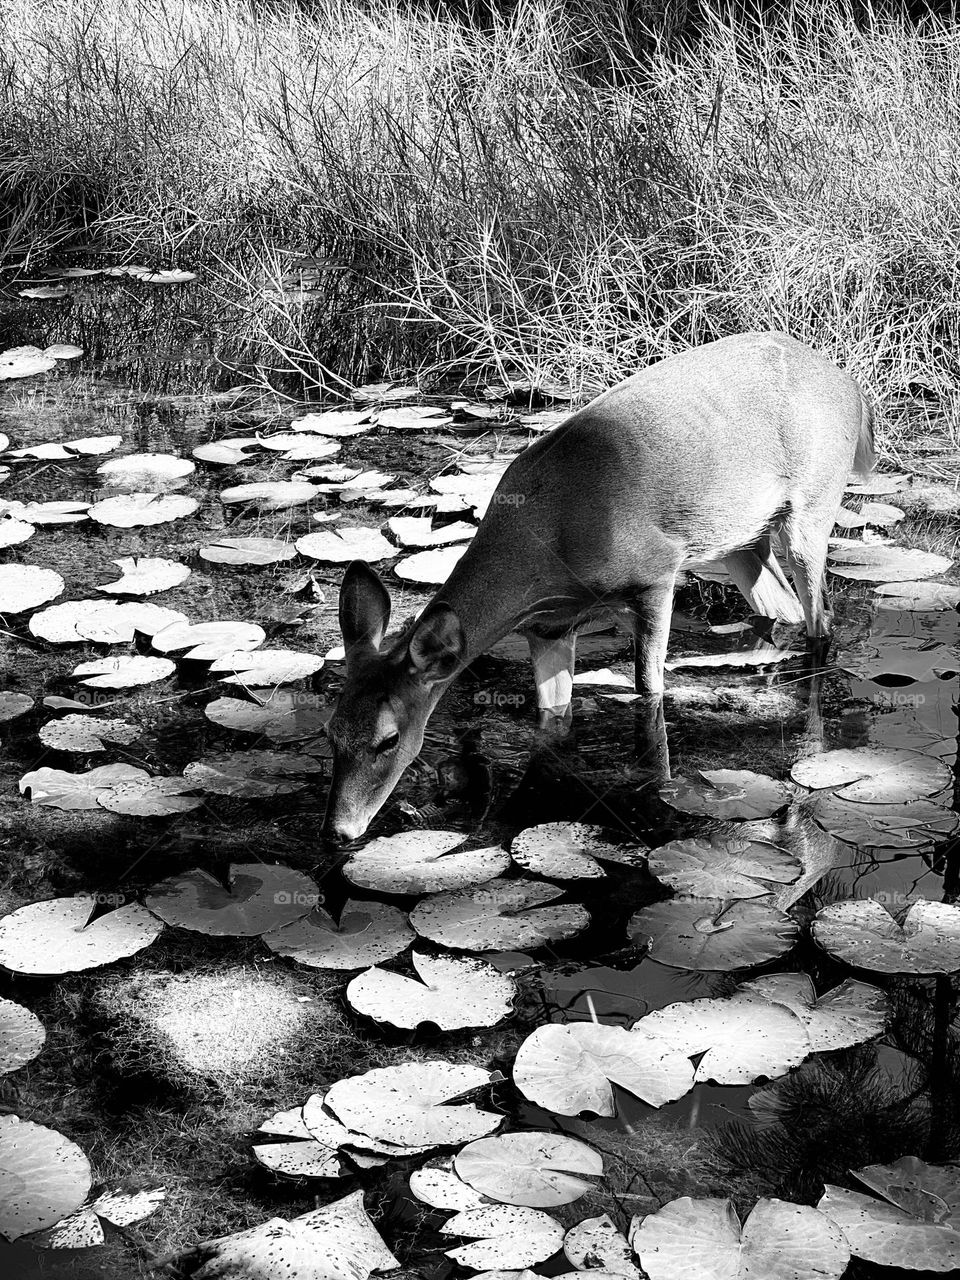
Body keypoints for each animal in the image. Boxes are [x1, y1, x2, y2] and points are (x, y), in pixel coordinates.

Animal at [323, 331, 874, 842]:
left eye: (389, 739)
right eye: (330, 732)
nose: (338, 831)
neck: (547, 545)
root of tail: (852, 388)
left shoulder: (657, 573)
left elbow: (649, 690)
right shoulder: (548, 627)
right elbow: (553, 714)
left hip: (812, 504)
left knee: (821, 617)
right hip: (741, 539)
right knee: (782, 606)